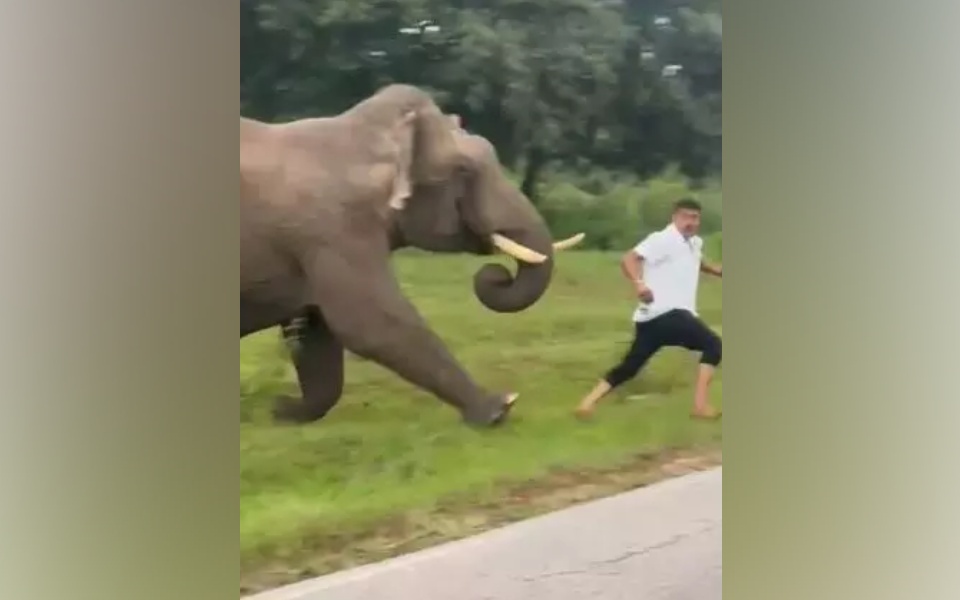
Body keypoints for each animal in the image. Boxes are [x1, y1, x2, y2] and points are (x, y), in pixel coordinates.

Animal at [241, 84, 585, 427]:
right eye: (463, 170)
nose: (497, 274)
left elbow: (317, 333)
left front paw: (284, 411)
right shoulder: (334, 231)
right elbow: (369, 322)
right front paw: (498, 408)